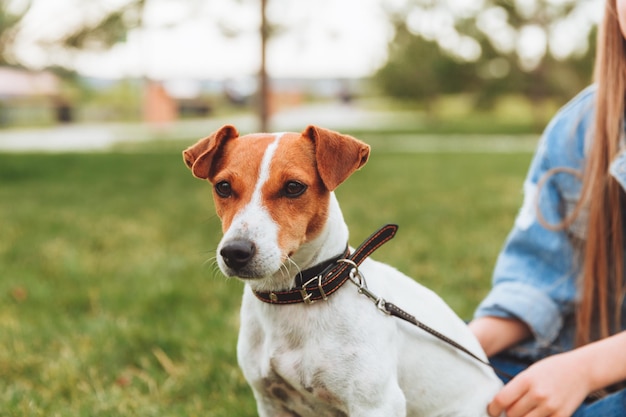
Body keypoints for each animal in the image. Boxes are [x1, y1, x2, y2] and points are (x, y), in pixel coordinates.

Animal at [182, 124, 502, 416]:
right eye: (223, 187)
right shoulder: (271, 402)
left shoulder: (376, 405)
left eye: (293, 187)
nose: (235, 252)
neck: (301, 292)